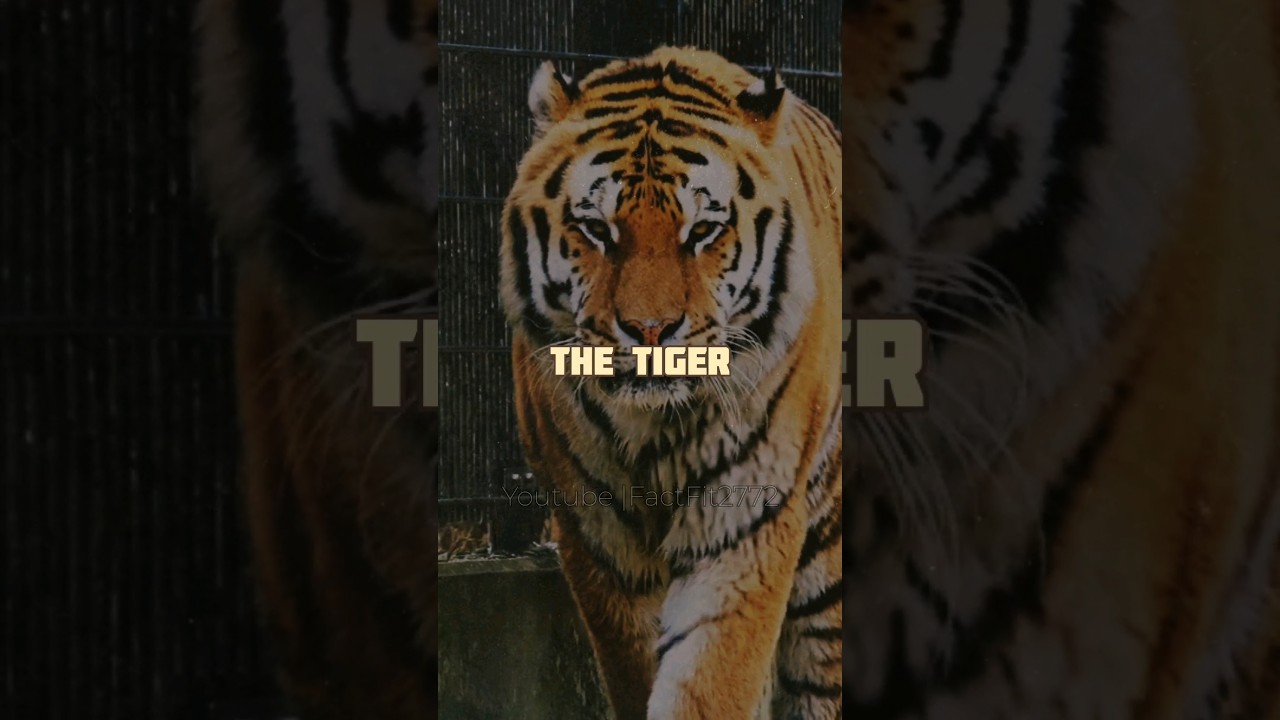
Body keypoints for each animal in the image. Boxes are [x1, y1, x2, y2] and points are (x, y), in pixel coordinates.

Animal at [500, 47, 844, 719]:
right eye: (598, 229)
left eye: (702, 231)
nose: (650, 329)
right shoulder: (598, 540)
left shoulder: (745, 525)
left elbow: (711, 679)